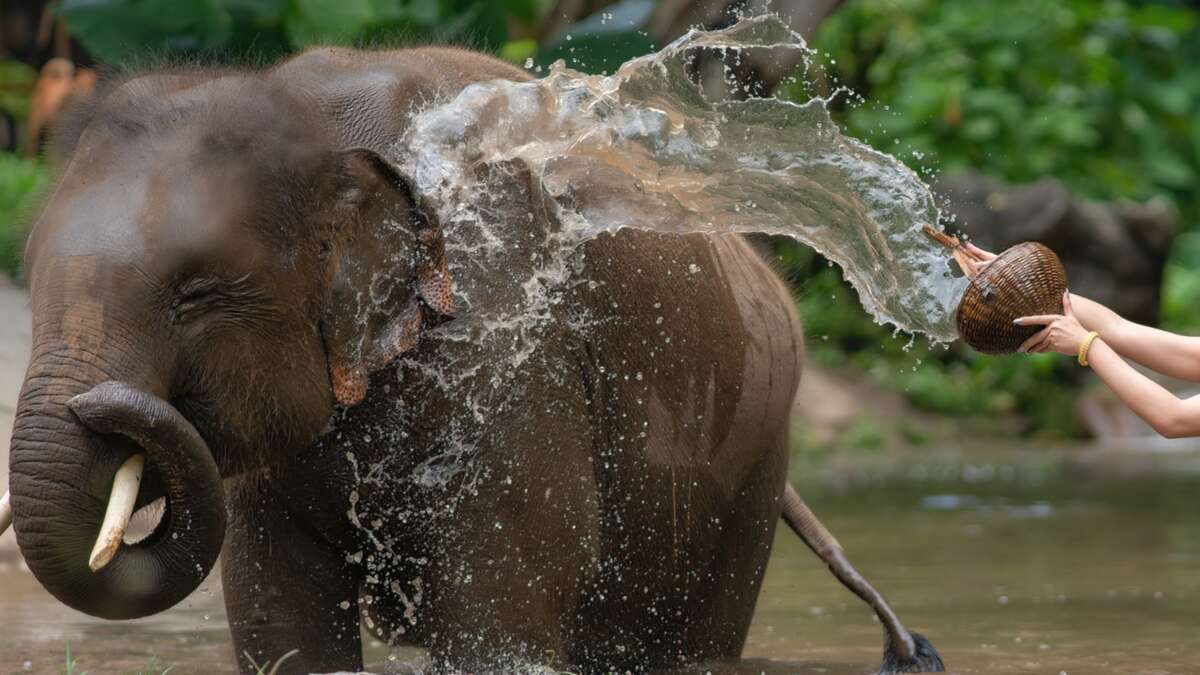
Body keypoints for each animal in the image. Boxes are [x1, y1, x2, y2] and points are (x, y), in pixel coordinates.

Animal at [0, 44, 945, 667]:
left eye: (194, 293)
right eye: (30, 275)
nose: (96, 408)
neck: (312, 116)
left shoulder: (511, 356)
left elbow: (496, 625)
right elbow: (281, 627)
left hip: (749, 464)